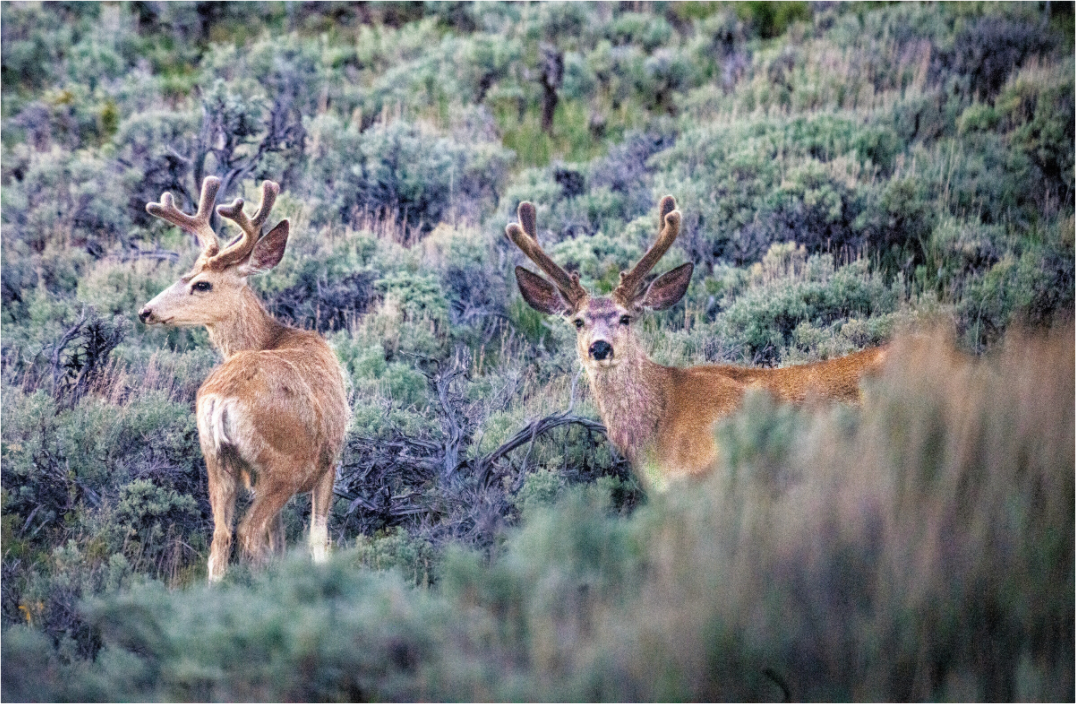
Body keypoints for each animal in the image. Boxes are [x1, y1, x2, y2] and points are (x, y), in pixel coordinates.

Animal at [138, 176, 349, 582]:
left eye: (200, 284)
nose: (146, 311)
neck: (275, 335)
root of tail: (222, 398)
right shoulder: (329, 460)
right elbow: (318, 537)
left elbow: (281, 538)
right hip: (283, 466)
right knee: (249, 532)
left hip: (215, 459)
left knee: (221, 538)